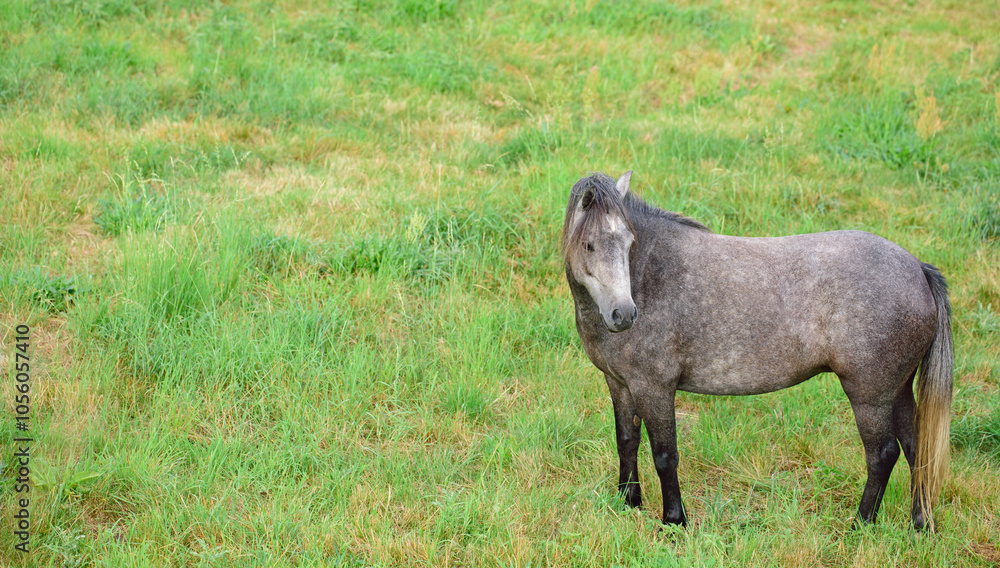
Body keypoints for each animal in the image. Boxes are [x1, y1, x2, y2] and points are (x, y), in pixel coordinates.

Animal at [563, 171, 953, 530]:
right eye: (589, 245)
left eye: (630, 243)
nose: (624, 315)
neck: (649, 277)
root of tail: (918, 269)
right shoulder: (619, 384)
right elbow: (627, 441)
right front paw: (627, 502)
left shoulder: (654, 389)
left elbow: (664, 455)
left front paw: (674, 521)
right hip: (897, 390)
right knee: (916, 447)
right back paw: (920, 523)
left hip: (870, 396)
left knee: (882, 455)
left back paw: (861, 523)